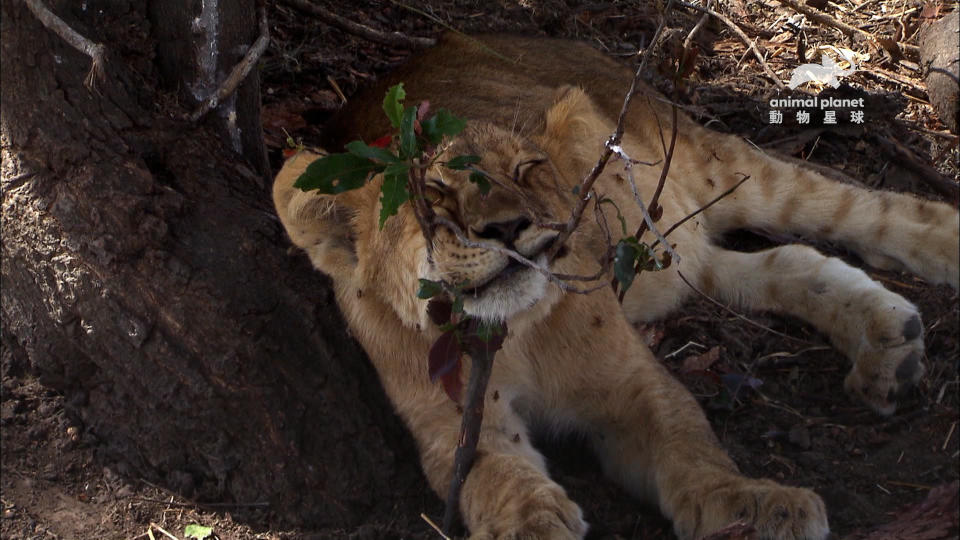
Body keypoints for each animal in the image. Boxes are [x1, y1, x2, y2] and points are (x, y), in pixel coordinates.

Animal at [272, 34, 960, 540]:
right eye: (433, 195)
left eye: (528, 169)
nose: (508, 226)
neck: (515, 336)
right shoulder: (447, 422)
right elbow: (489, 475)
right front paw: (531, 523)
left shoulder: (629, 380)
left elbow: (688, 437)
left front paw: (751, 503)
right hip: (671, 255)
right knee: (783, 262)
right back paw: (889, 345)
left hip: (713, 168)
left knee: (856, 208)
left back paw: (942, 250)